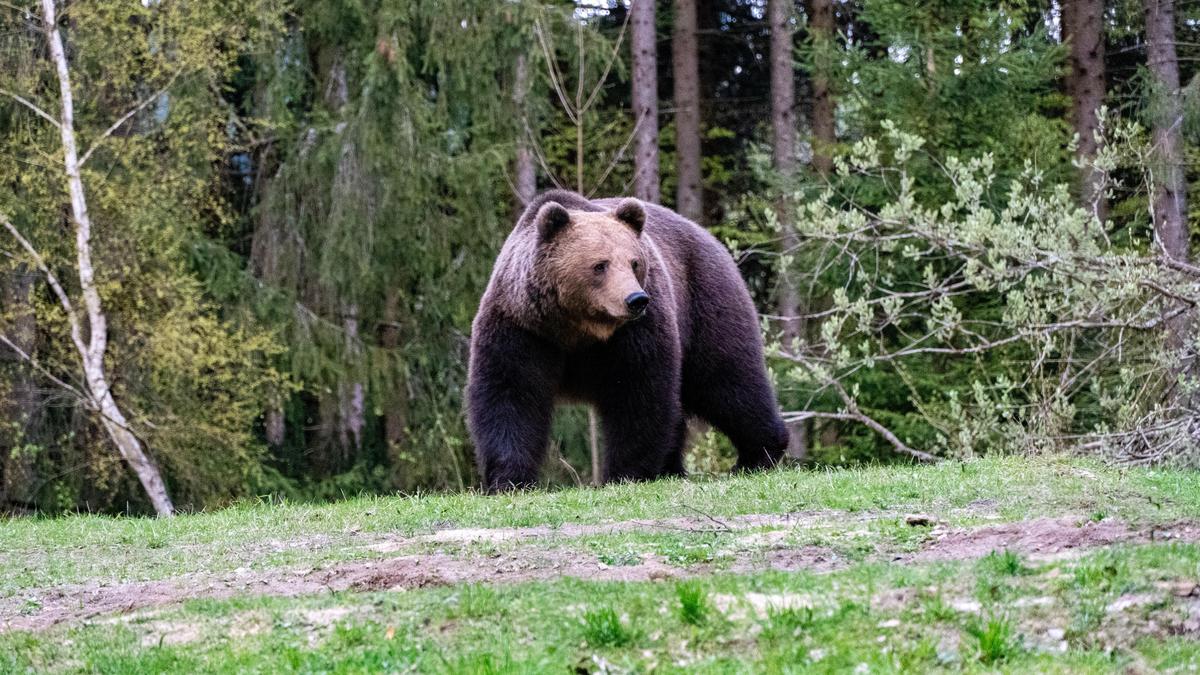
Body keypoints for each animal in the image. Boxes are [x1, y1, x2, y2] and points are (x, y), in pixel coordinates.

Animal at [465, 189, 787, 487]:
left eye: (634, 262)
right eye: (600, 264)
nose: (635, 299)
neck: (577, 328)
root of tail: (708, 236)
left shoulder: (635, 333)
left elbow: (638, 394)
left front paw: (625, 473)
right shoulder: (523, 328)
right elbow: (510, 393)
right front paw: (509, 478)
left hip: (704, 304)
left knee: (728, 382)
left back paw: (758, 454)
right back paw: (673, 468)